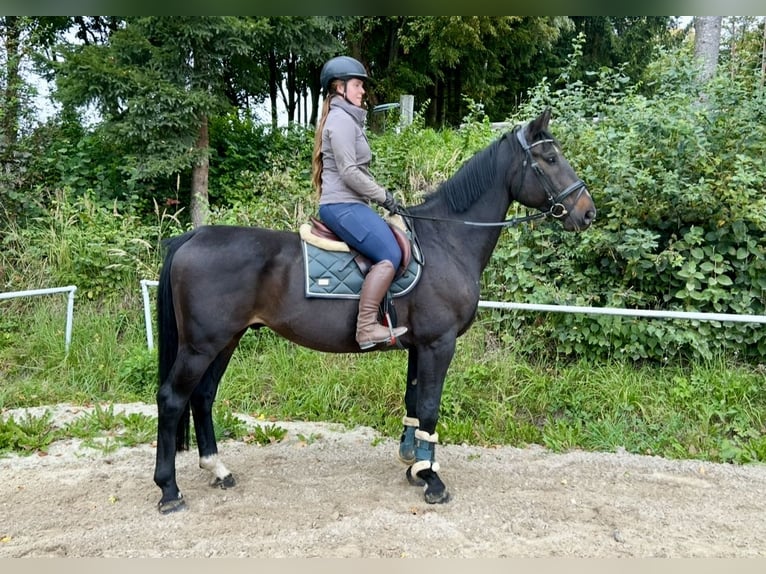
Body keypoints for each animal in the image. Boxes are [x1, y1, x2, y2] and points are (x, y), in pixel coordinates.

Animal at [153, 108, 596, 513]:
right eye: (550, 158)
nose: (587, 212)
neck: (447, 240)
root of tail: (193, 236)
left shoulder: (419, 345)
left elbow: (414, 402)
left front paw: (415, 465)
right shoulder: (439, 344)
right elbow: (430, 408)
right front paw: (433, 480)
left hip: (226, 339)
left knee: (203, 396)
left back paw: (217, 469)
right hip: (202, 345)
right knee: (173, 398)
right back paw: (169, 490)